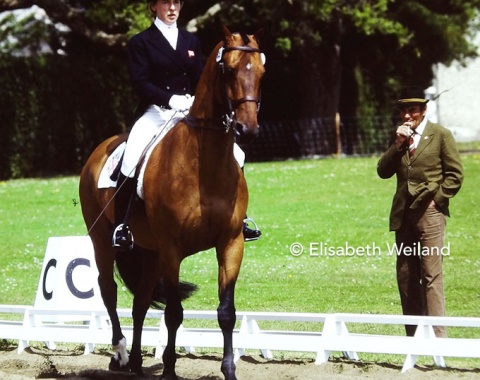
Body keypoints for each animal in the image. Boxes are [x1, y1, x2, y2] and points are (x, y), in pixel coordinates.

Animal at [79, 25, 266, 378]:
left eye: (262, 72)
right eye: (228, 70)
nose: (247, 130)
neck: (204, 165)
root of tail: (100, 149)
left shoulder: (231, 243)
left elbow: (226, 311)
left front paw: (229, 369)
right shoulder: (172, 249)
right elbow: (174, 314)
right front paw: (168, 368)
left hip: (150, 252)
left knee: (140, 302)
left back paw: (136, 363)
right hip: (103, 242)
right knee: (109, 291)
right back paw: (120, 354)